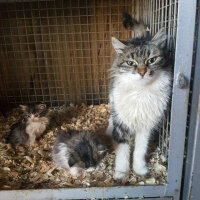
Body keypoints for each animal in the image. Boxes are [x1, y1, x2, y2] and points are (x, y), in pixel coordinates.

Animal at [106, 13, 172, 180]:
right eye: (131, 63)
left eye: (151, 60)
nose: (142, 72)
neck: (141, 92)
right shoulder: (122, 123)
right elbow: (122, 152)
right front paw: (121, 173)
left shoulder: (146, 126)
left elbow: (139, 151)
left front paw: (139, 169)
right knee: (111, 117)